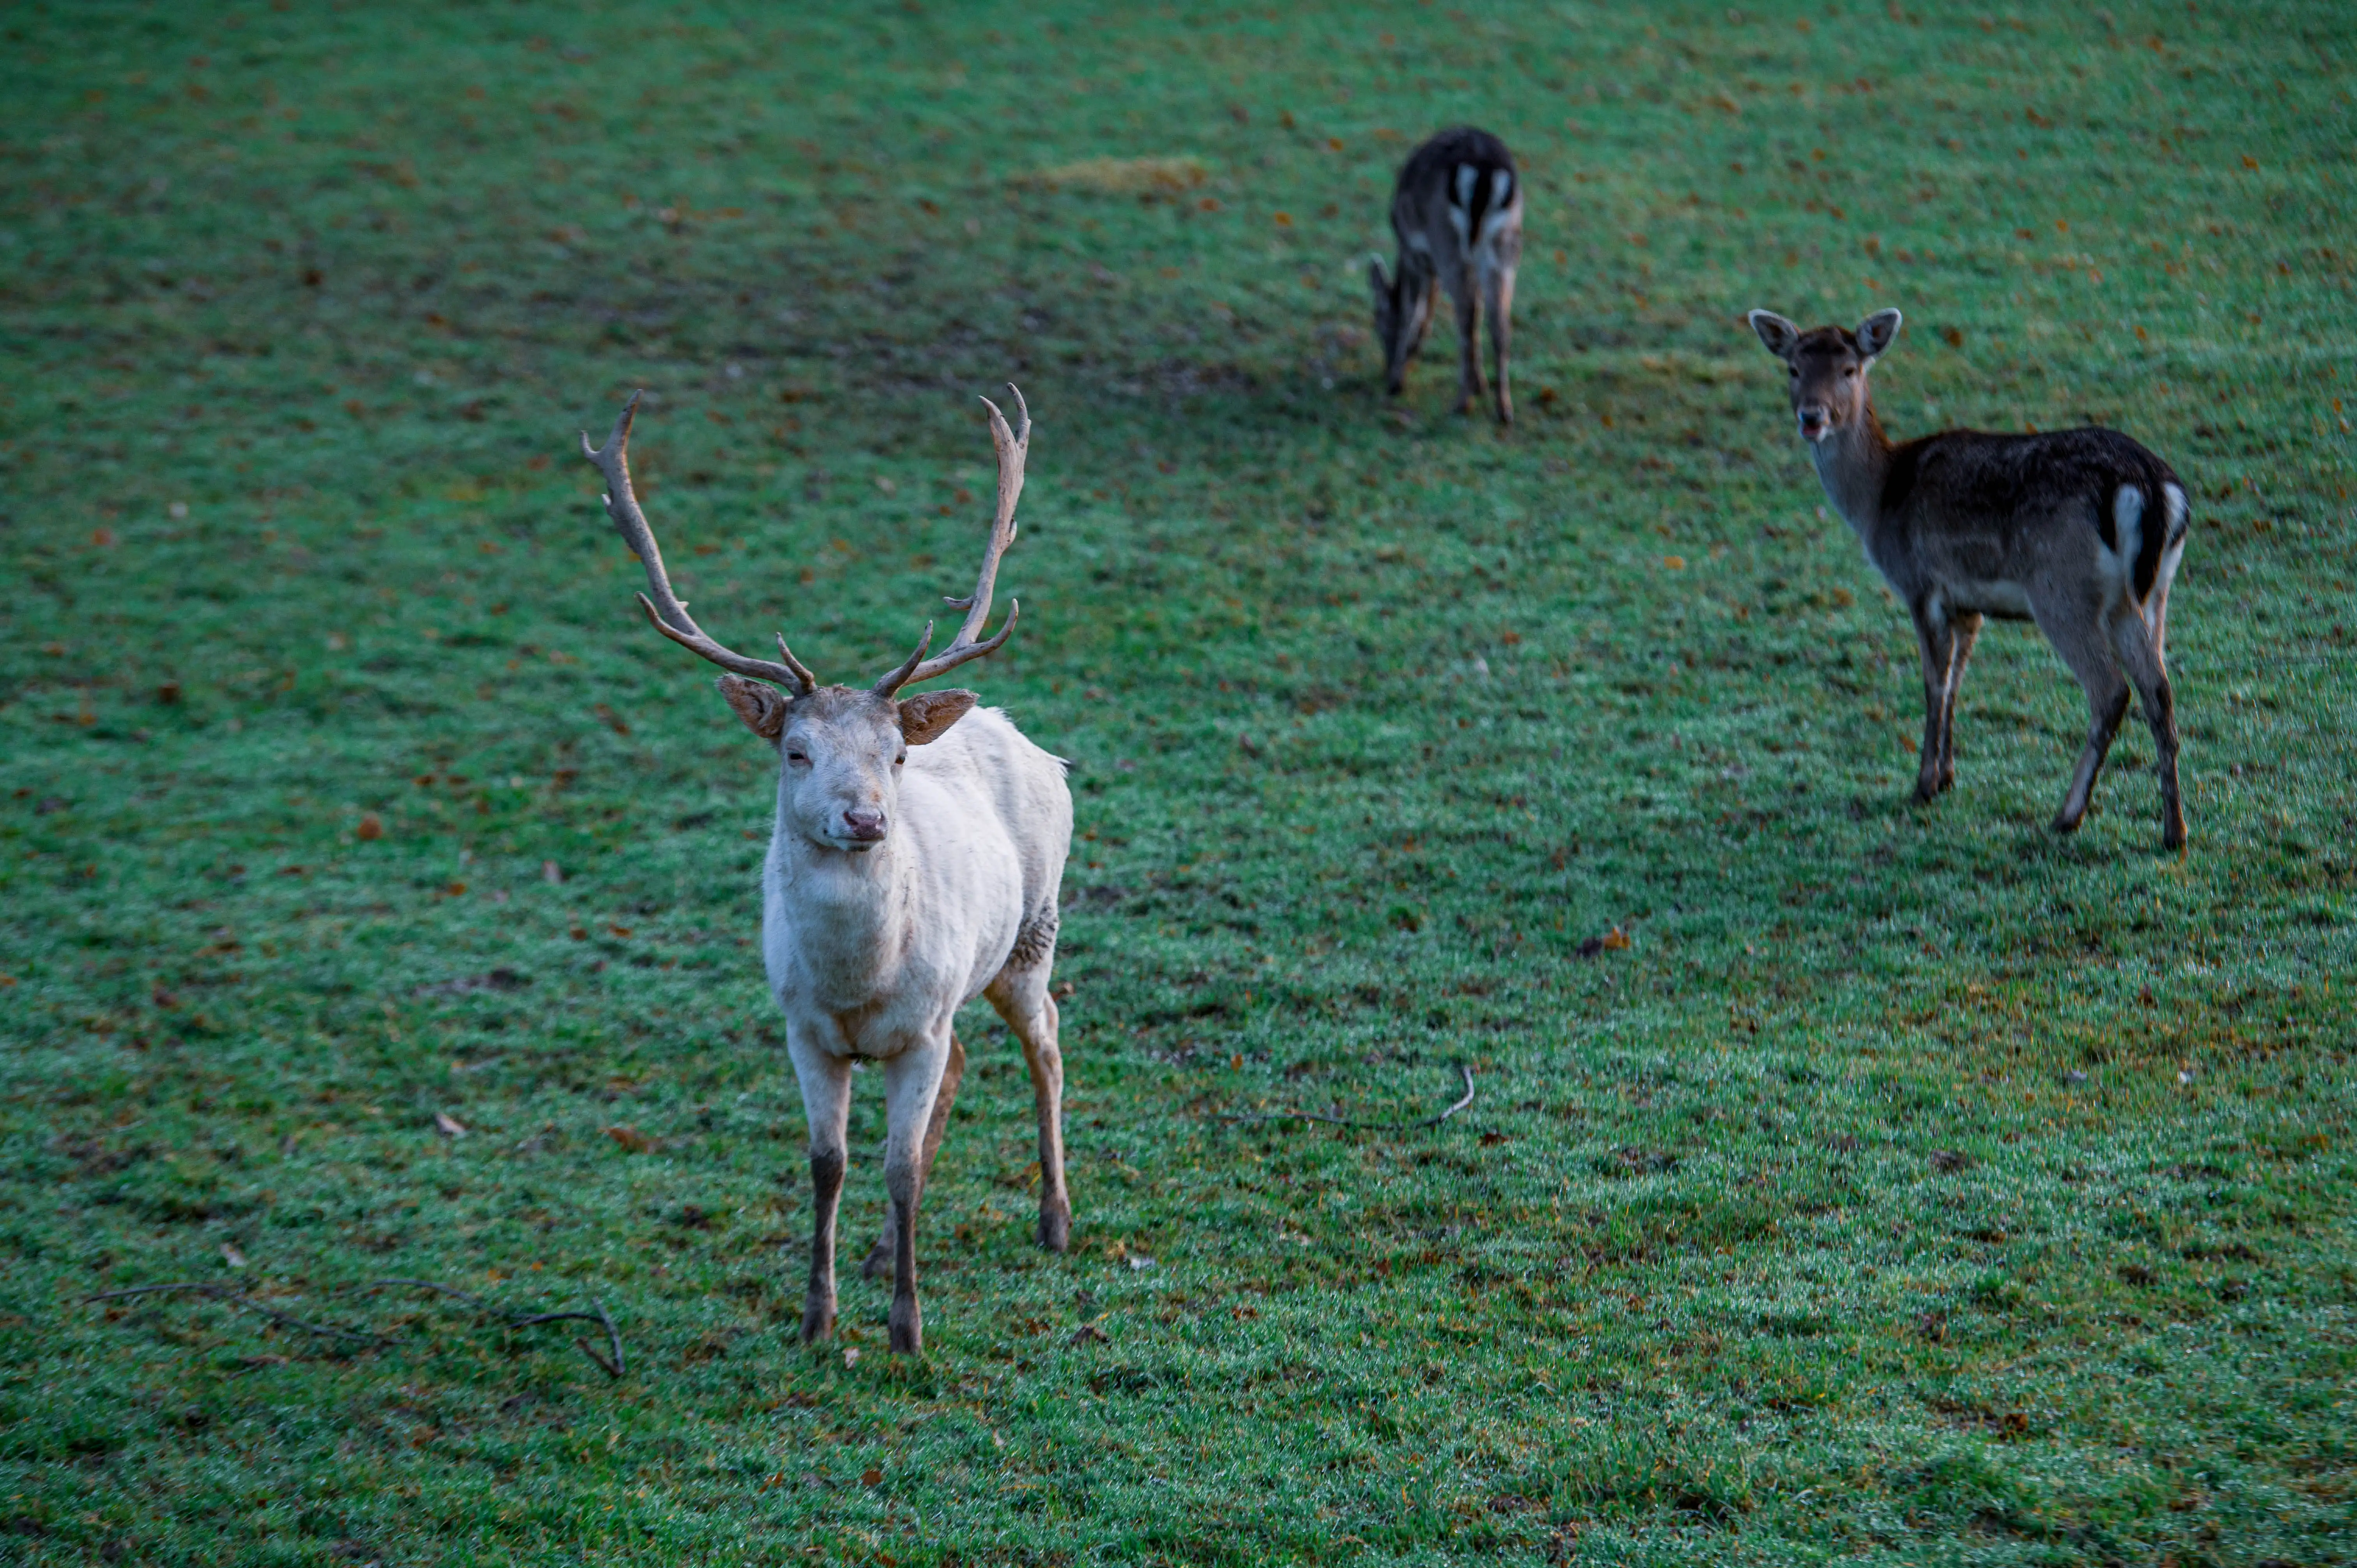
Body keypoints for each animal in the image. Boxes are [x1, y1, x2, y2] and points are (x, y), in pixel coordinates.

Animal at [580, 385, 1073, 1356]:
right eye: (796, 749)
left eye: (895, 754)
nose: (866, 818)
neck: (858, 986)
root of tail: (1018, 732)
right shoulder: (803, 1028)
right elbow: (831, 1162)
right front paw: (819, 1315)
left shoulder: (916, 1030)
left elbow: (900, 1166)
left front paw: (908, 1332)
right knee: (970, 1060)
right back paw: (882, 1253)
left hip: (1032, 934)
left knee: (1049, 1041)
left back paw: (1055, 1218)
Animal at [1368, 126, 1524, 423]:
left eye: (1378, 323)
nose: (1384, 369)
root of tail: (1485, 170)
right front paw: (1480, 383)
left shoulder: (1413, 252)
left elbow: (1412, 310)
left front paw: (1397, 381)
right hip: (1504, 249)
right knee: (1498, 322)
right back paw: (1504, 409)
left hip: (1447, 239)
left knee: (1466, 312)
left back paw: (1463, 403)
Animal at [1746, 307, 2191, 849]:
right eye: (1793, 369)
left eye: (1850, 369)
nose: (1812, 417)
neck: (1879, 499)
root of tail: (2150, 485)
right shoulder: (1969, 603)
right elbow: (1960, 676)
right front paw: (1948, 776)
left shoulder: (1920, 584)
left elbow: (1934, 682)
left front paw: (1922, 785)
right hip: (2148, 594)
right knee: (2159, 688)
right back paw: (2174, 829)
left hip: (2061, 587)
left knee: (2111, 690)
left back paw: (2067, 815)